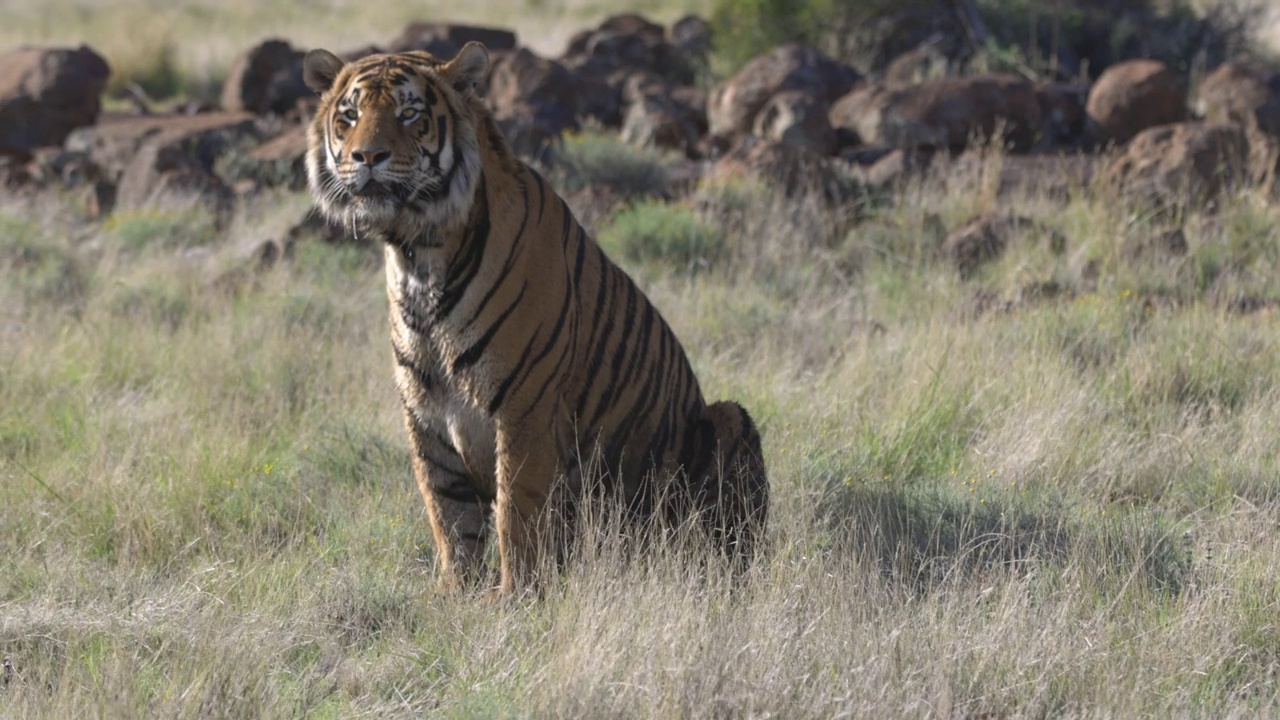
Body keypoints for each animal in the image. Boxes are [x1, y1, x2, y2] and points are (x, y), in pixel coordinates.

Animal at [302, 41, 757, 594]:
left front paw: (515, 597)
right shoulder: (424, 413)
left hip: (727, 422)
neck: (418, 254)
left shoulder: (525, 405)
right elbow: (448, 515)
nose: (367, 156)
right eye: (349, 116)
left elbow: (515, 511)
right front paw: (455, 595)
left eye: (409, 114)